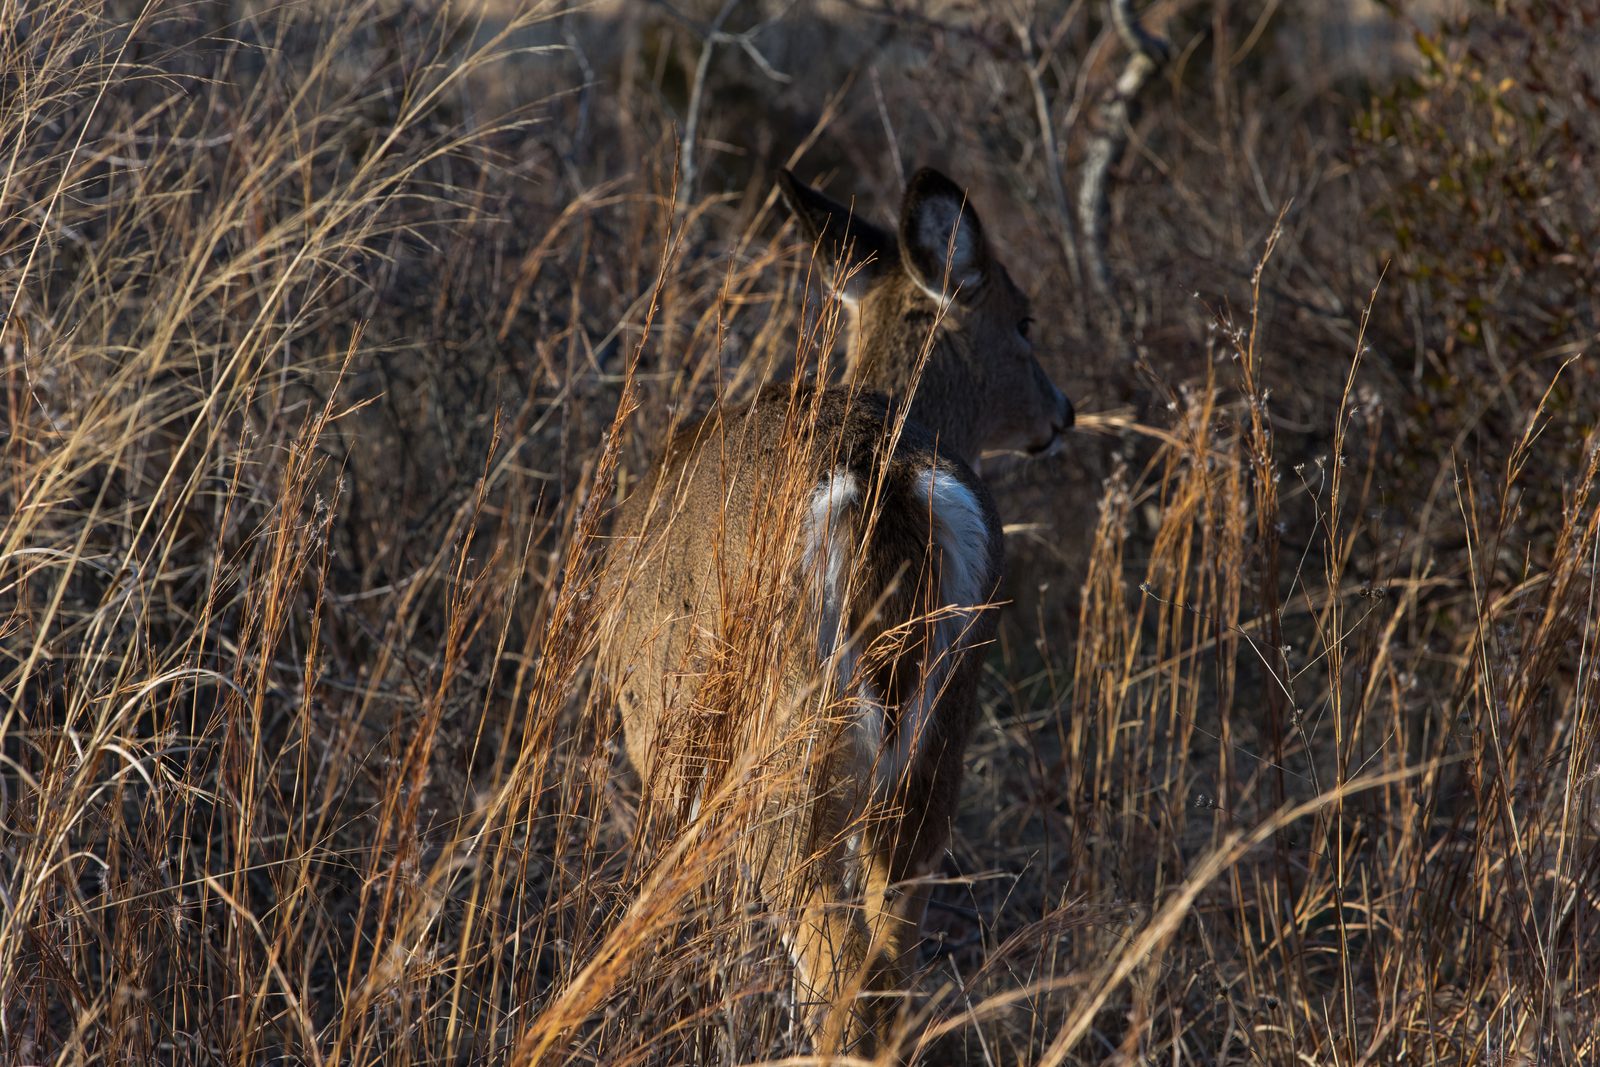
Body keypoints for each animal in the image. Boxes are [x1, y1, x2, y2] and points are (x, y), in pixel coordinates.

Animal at [598, 167, 1074, 1060]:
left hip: (786, 744)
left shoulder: (665, 751)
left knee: (836, 967)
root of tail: (878, 478)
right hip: (938, 736)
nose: (1064, 412)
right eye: (1025, 317)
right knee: (887, 965)